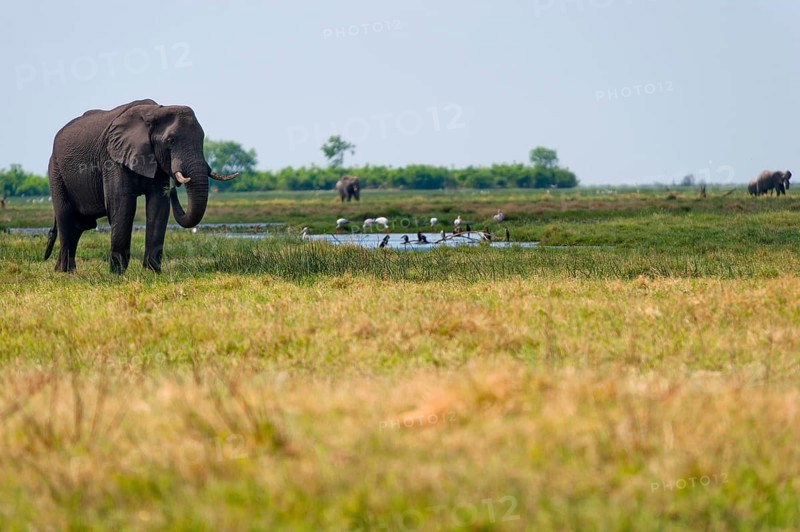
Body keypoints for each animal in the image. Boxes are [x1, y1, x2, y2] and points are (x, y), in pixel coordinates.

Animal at [44, 99, 238, 273]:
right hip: (56, 171)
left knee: (79, 226)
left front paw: (151, 273)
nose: (173, 187)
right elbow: (122, 205)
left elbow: (158, 206)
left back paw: (63, 271)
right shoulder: (112, 159)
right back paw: (65, 272)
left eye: (202, 139)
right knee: (66, 219)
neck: (155, 112)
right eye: (171, 141)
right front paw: (117, 274)